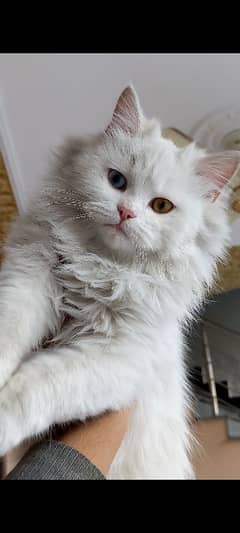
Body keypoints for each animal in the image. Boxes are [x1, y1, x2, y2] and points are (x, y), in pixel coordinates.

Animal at [0, 87, 238, 478]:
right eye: (116, 181)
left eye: (161, 206)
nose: (126, 212)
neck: (101, 268)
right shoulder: (29, 280)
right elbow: (9, 337)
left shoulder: (119, 359)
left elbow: (33, 385)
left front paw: (2, 422)